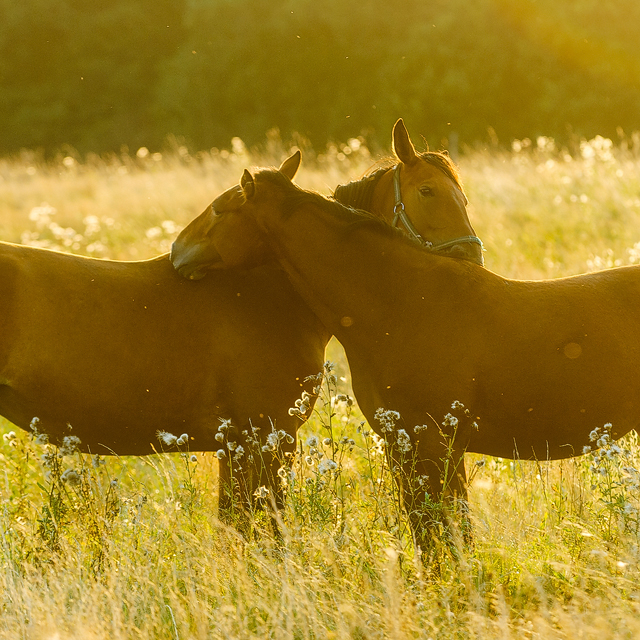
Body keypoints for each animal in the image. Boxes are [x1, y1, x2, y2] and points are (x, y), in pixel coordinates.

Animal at [1, 121, 481, 531]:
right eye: (427, 191)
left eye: (464, 199)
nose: (473, 261)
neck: (269, 293)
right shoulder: (265, 439)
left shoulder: (238, 445)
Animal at [170, 158, 640, 549]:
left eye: (220, 209)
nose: (176, 250)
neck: (402, 301)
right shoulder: (408, 449)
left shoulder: (431, 446)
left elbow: (443, 537)